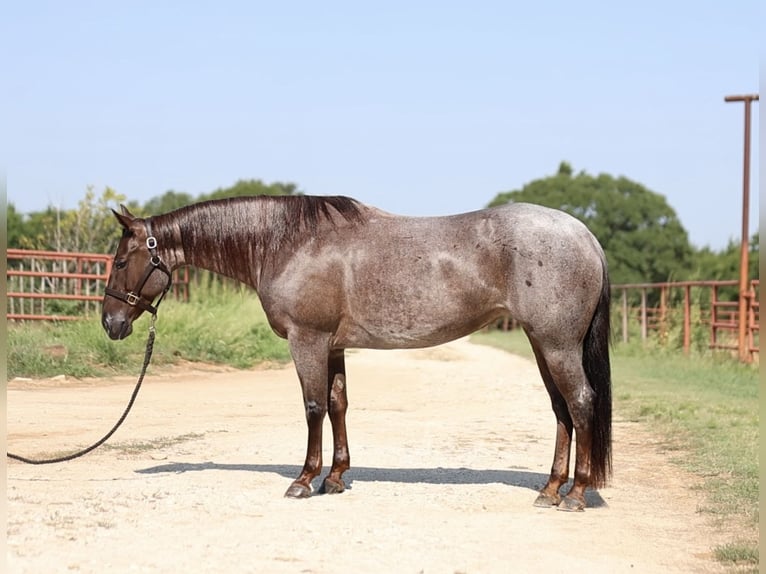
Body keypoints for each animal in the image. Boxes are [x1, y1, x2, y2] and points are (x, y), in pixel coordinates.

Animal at [102, 195, 616, 512]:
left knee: (581, 403)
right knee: (562, 410)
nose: (111, 323)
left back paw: (576, 493)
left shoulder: (307, 340)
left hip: (556, 345)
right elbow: (338, 404)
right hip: (542, 344)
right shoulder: (333, 346)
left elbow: (312, 407)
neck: (287, 243)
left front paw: (304, 480)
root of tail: (585, 236)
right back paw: (551, 489)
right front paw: (335, 478)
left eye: (122, 260)